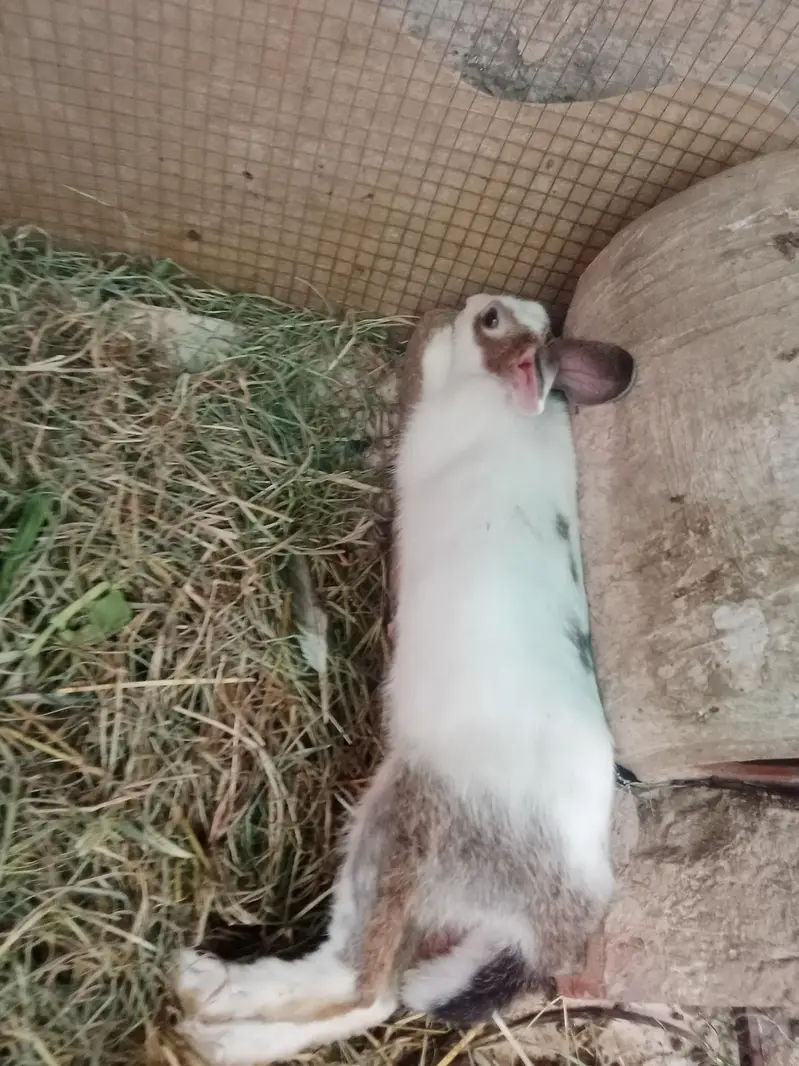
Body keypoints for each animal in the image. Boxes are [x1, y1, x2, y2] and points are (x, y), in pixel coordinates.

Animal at [175, 293, 635, 1066]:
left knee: (363, 984)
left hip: (395, 835)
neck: (497, 400)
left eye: (488, 321)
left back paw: (209, 1004)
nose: (455, 305)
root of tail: (546, 922)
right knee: (375, 996)